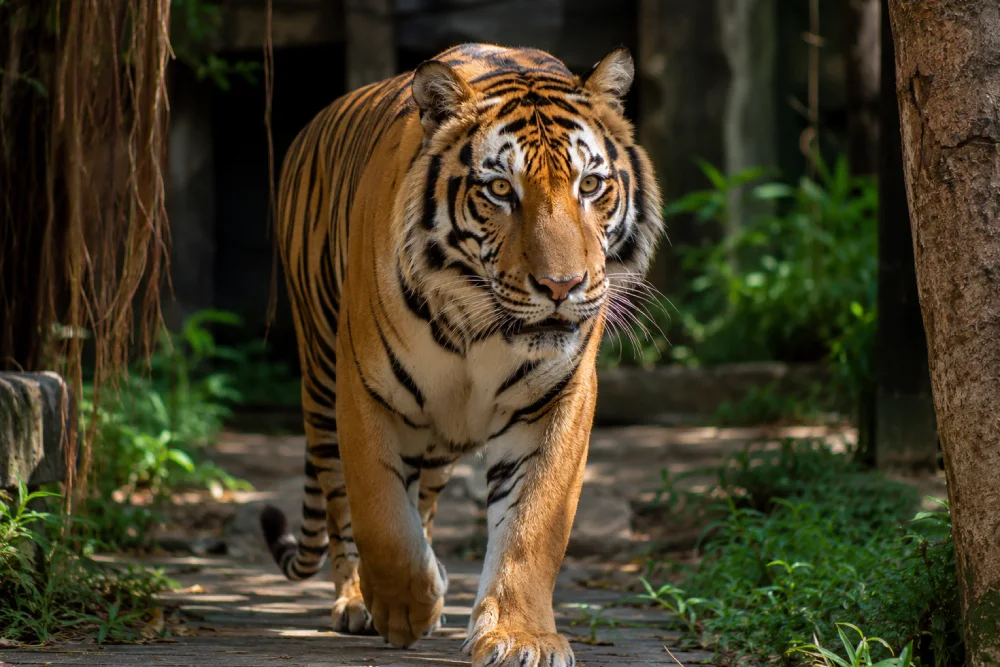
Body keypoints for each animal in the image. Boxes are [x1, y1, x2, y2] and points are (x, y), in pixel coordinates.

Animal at [259, 43, 664, 667]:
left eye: (591, 185)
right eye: (499, 190)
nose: (562, 286)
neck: (482, 327)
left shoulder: (559, 398)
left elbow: (533, 525)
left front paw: (521, 637)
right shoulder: (364, 388)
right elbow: (380, 514)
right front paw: (403, 609)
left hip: (436, 434)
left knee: (421, 500)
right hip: (322, 382)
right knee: (339, 503)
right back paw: (357, 600)